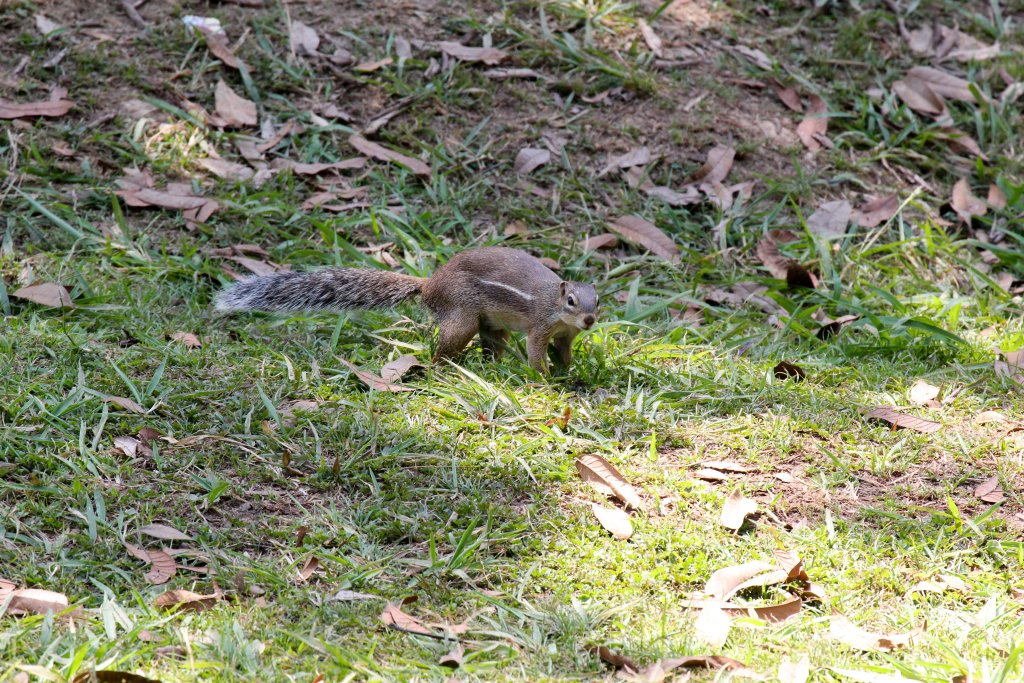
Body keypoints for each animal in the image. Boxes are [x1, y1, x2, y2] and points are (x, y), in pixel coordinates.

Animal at [215, 246, 599, 374]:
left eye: (599, 302)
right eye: (570, 300)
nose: (590, 320)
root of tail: (429, 284)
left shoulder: (565, 335)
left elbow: (565, 351)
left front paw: (570, 371)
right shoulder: (541, 326)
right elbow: (535, 351)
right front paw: (544, 377)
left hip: (490, 323)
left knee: (492, 342)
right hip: (461, 317)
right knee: (443, 350)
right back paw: (442, 368)